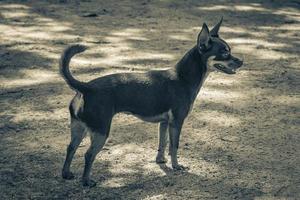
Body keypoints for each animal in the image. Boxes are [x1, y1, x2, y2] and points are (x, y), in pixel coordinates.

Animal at [60, 18, 241, 187]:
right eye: (225, 53)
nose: (242, 61)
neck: (183, 78)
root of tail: (86, 87)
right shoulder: (176, 123)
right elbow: (174, 146)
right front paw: (176, 166)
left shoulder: (165, 123)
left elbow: (163, 143)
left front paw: (161, 161)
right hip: (101, 131)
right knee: (88, 155)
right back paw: (86, 181)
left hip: (79, 128)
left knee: (70, 148)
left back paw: (66, 174)